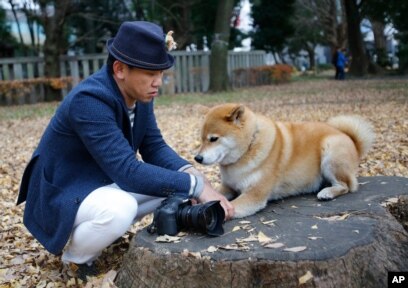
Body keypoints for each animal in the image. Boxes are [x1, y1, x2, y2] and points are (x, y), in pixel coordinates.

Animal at [194, 103, 376, 218]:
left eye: (213, 139)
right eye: (201, 139)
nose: (197, 158)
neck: (248, 148)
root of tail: (352, 141)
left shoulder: (254, 195)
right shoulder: (228, 186)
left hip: (331, 152)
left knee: (346, 186)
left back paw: (327, 192)